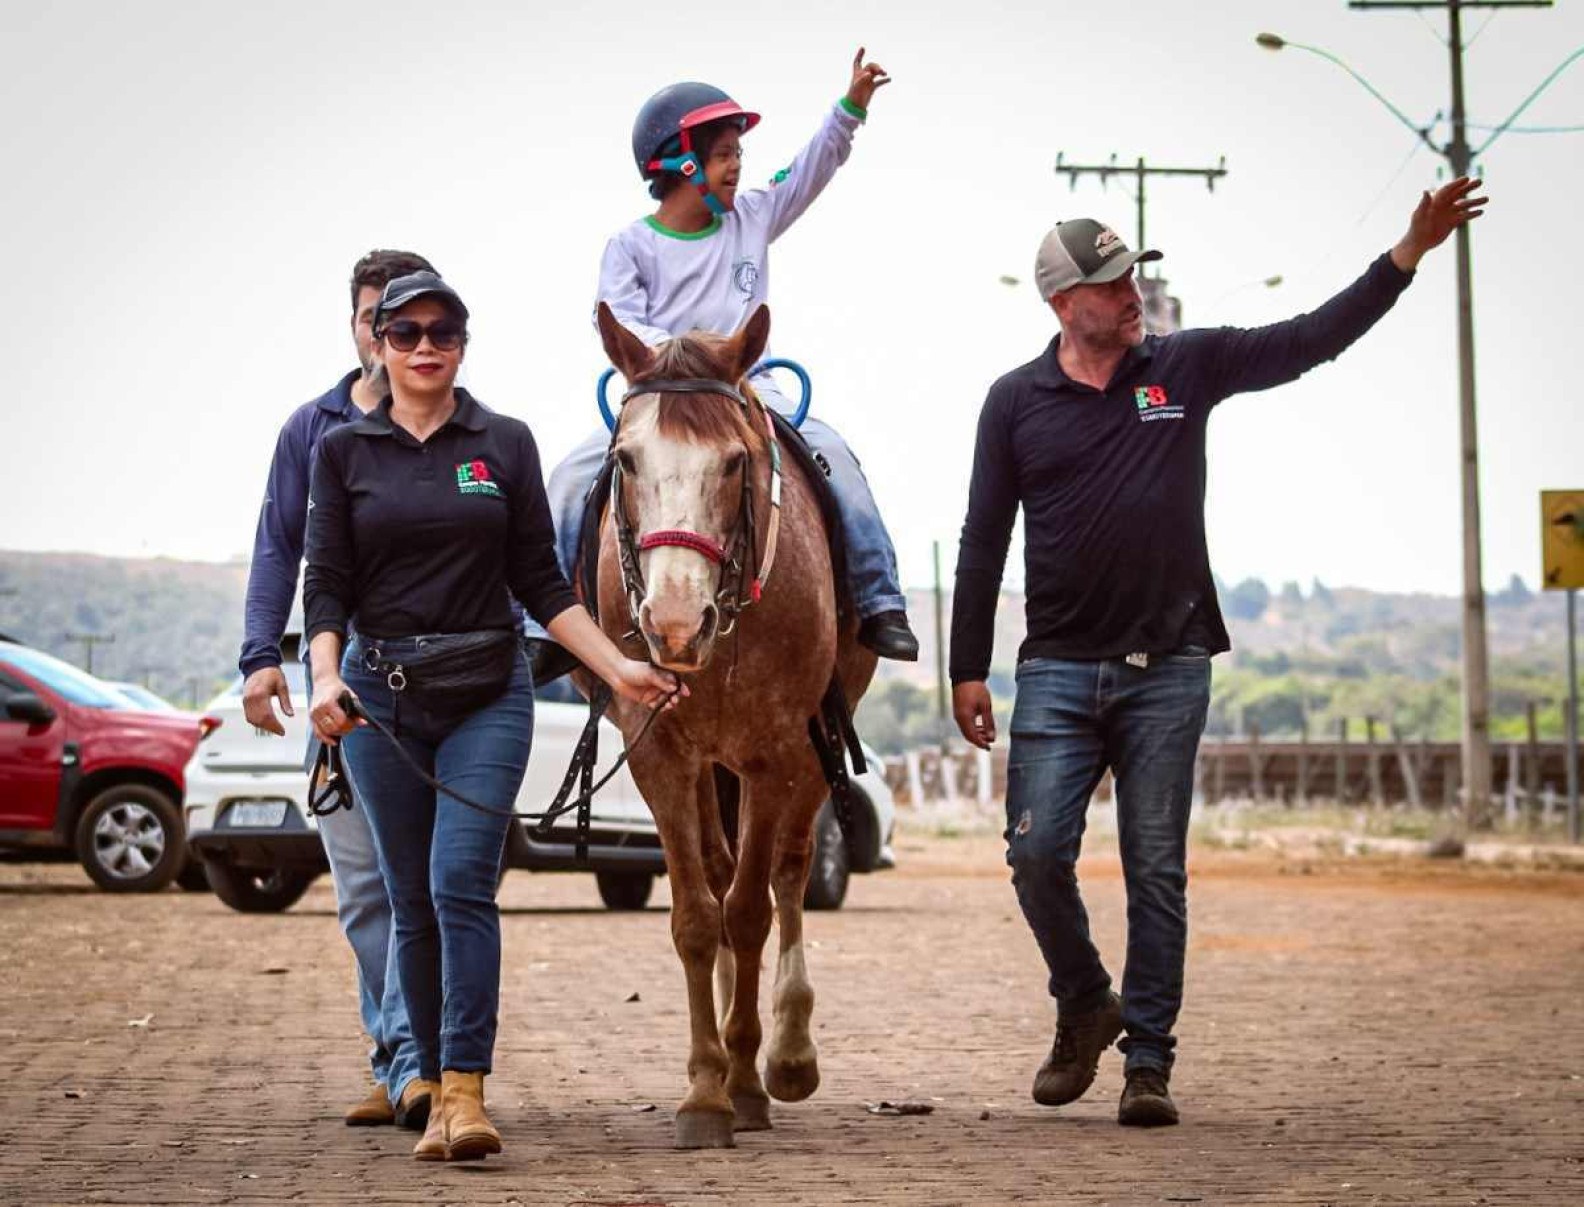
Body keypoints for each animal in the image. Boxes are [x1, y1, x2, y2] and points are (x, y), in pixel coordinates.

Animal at [582, 300, 880, 1146]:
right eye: (626, 461)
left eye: (735, 462)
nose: (675, 622)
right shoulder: (658, 750)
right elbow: (695, 915)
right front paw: (706, 1086)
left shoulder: (776, 750)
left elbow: (749, 911)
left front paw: (743, 1081)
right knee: (719, 875)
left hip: (809, 747)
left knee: (788, 871)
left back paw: (786, 1053)